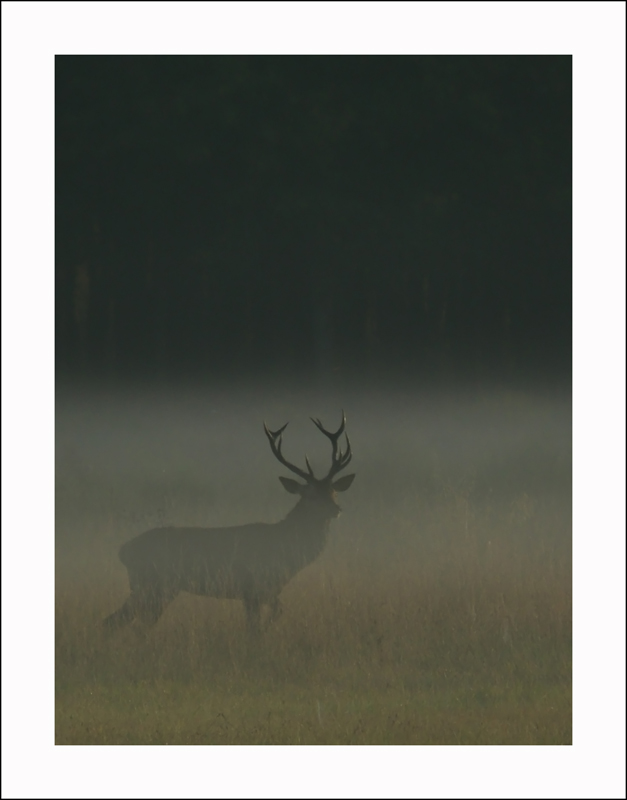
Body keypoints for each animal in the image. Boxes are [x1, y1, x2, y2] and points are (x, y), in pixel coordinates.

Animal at [103, 412, 355, 634]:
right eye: (310, 495)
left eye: (333, 491)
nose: (337, 509)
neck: (285, 547)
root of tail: (123, 551)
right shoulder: (253, 586)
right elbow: (258, 625)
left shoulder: (266, 590)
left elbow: (276, 613)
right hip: (153, 584)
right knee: (124, 623)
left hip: (154, 588)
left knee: (118, 622)